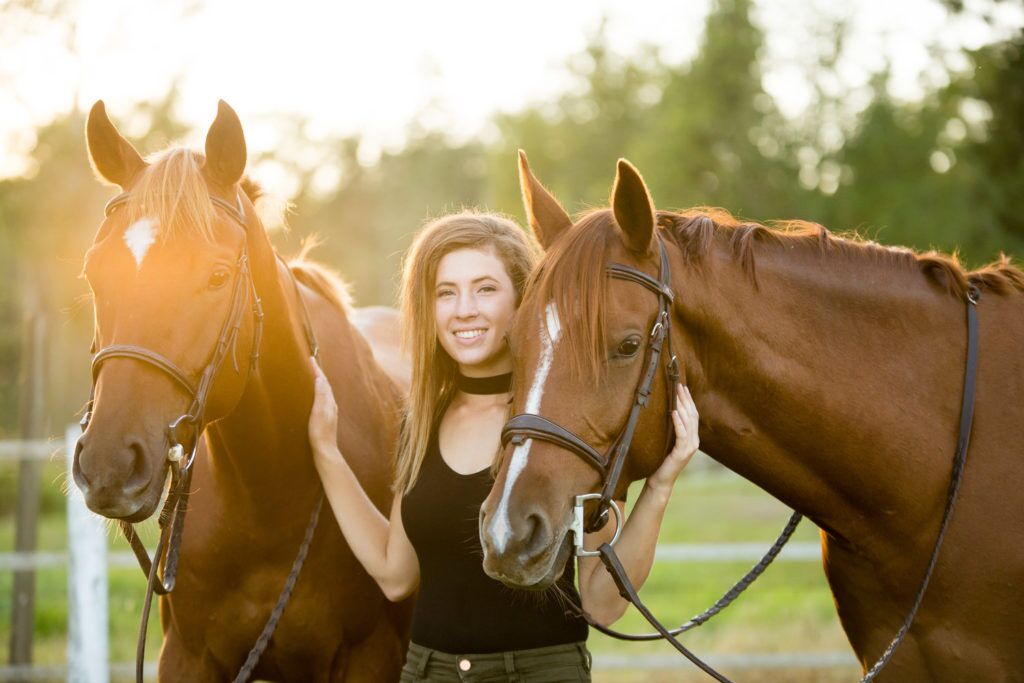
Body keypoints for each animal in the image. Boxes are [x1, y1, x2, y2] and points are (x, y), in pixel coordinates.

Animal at [76, 102, 411, 683]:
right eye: (95, 273)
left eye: (216, 276)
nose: (108, 466)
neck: (267, 493)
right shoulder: (186, 658)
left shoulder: (371, 656)